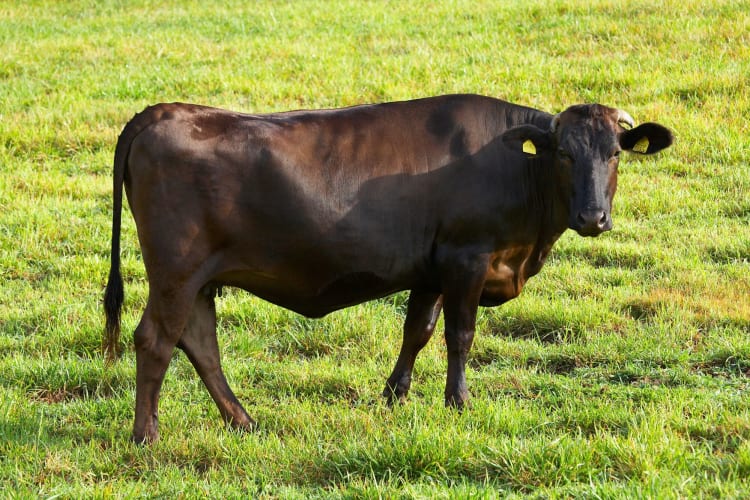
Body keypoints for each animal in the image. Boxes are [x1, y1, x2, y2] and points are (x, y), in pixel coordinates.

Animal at [103, 94, 672, 442]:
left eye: (615, 153)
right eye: (564, 154)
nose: (593, 217)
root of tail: (162, 112)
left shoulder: (431, 269)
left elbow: (417, 330)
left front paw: (393, 396)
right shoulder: (467, 257)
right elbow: (460, 334)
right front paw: (458, 402)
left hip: (199, 279)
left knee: (200, 343)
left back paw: (243, 421)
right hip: (176, 272)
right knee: (156, 340)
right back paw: (146, 435)